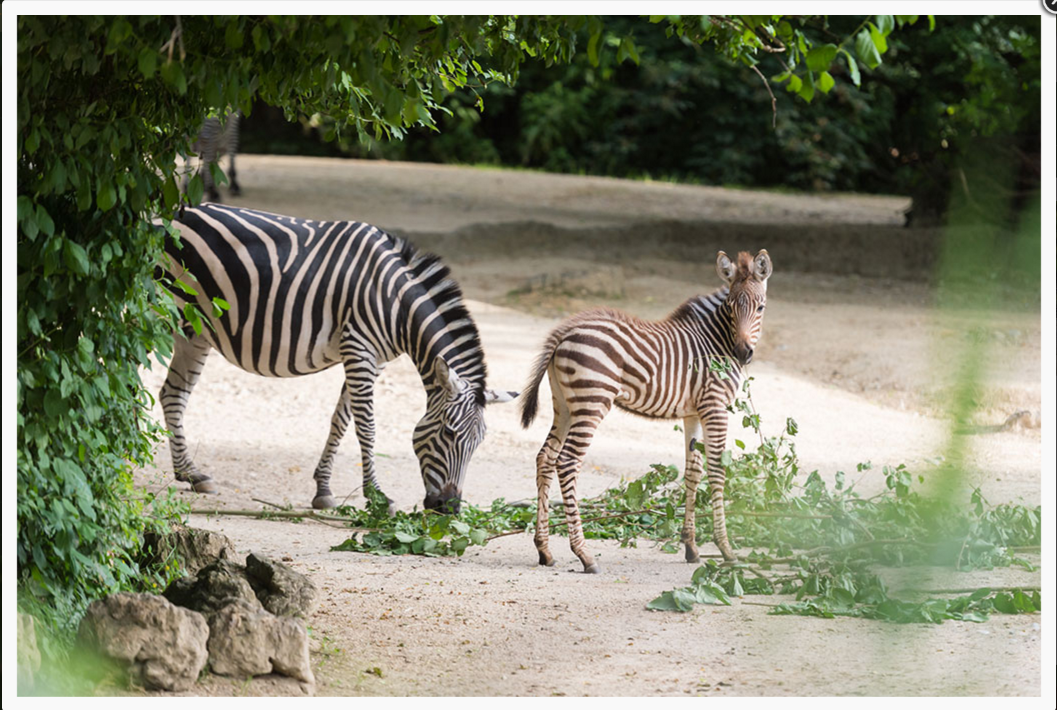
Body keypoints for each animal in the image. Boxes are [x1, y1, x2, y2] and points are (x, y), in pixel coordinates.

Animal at [155, 202, 515, 513]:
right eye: (449, 433)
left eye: (479, 442)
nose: (448, 508)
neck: (397, 305)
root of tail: (164, 213)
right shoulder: (359, 348)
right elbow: (366, 425)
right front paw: (377, 497)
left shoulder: (374, 359)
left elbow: (341, 420)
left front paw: (323, 490)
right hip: (163, 314)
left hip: (195, 332)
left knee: (172, 394)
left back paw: (191, 474)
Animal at [522, 249, 777, 570]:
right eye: (730, 307)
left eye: (761, 307)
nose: (743, 353)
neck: (716, 340)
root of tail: (565, 332)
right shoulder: (715, 407)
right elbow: (717, 470)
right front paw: (726, 549)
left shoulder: (693, 413)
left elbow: (693, 471)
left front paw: (691, 547)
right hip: (592, 403)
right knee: (567, 462)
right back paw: (584, 554)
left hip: (564, 405)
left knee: (545, 457)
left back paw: (544, 550)